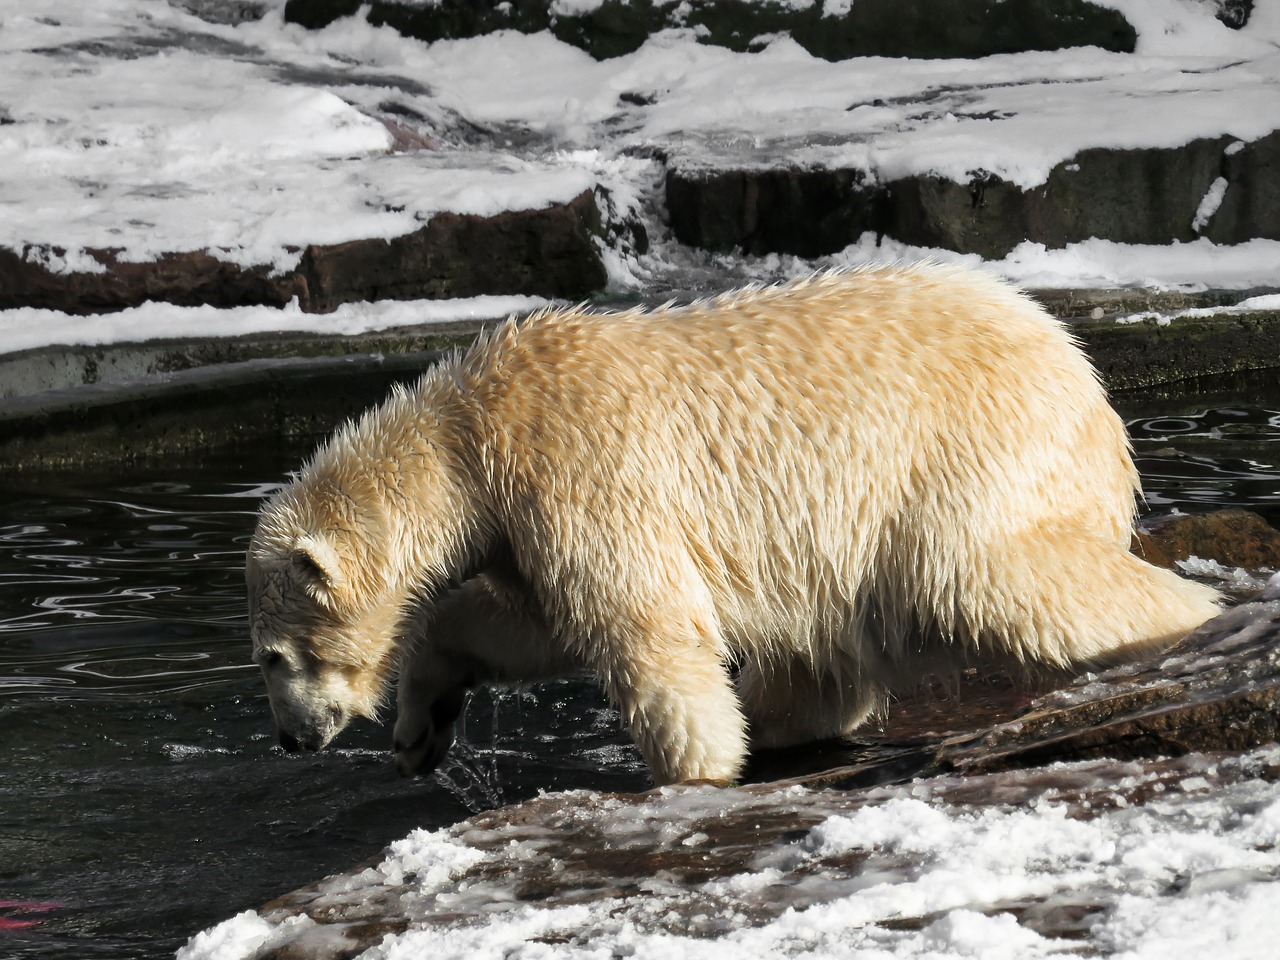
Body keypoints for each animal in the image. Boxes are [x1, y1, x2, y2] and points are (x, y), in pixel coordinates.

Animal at [247, 259, 1218, 783]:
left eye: (272, 655)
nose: (289, 740)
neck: (473, 432)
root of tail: (1090, 389)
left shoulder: (581, 464)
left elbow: (645, 624)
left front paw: (694, 771)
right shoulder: (527, 517)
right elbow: (523, 623)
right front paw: (420, 731)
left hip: (966, 456)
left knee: (989, 577)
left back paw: (1193, 623)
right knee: (832, 647)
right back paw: (783, 714)